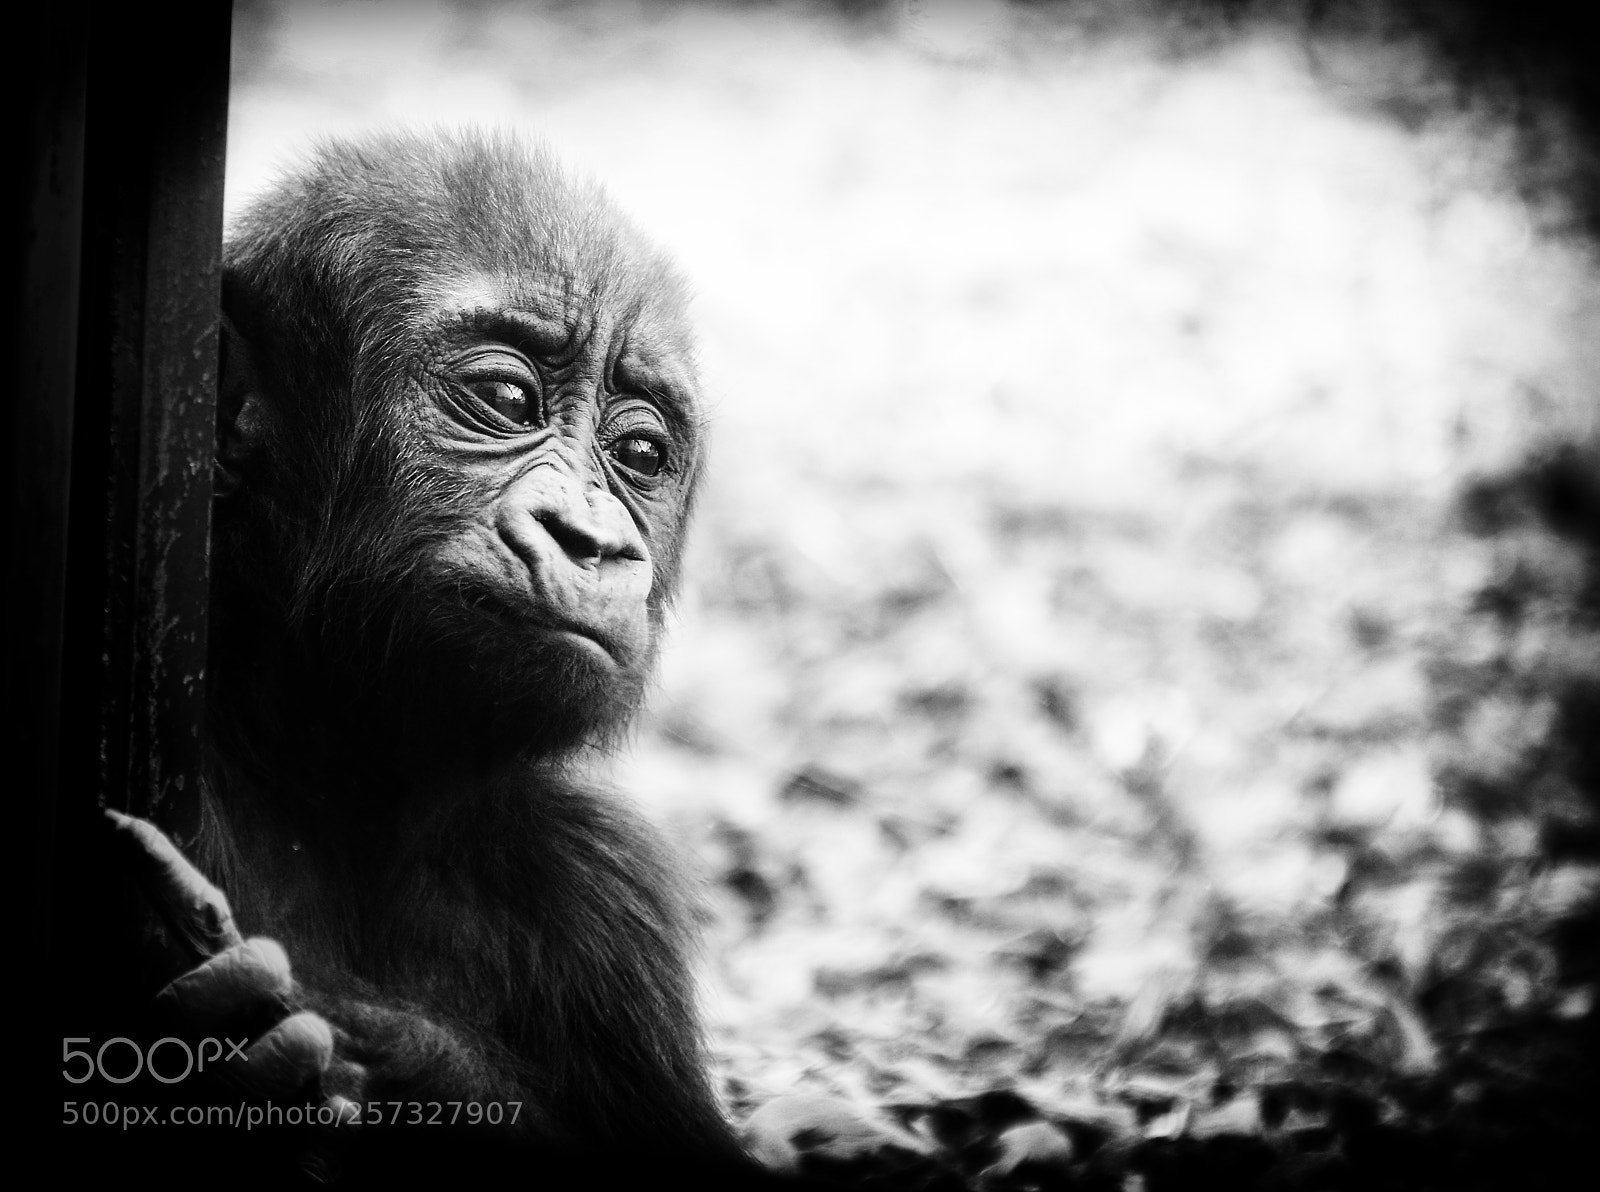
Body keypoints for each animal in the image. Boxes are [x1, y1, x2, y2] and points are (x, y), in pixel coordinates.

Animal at [97, 129, 762, 1184]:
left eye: (640, 455)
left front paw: (340, 1049)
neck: (344, 774)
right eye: (506, 398)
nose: (591, 541)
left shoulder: (612, 892)